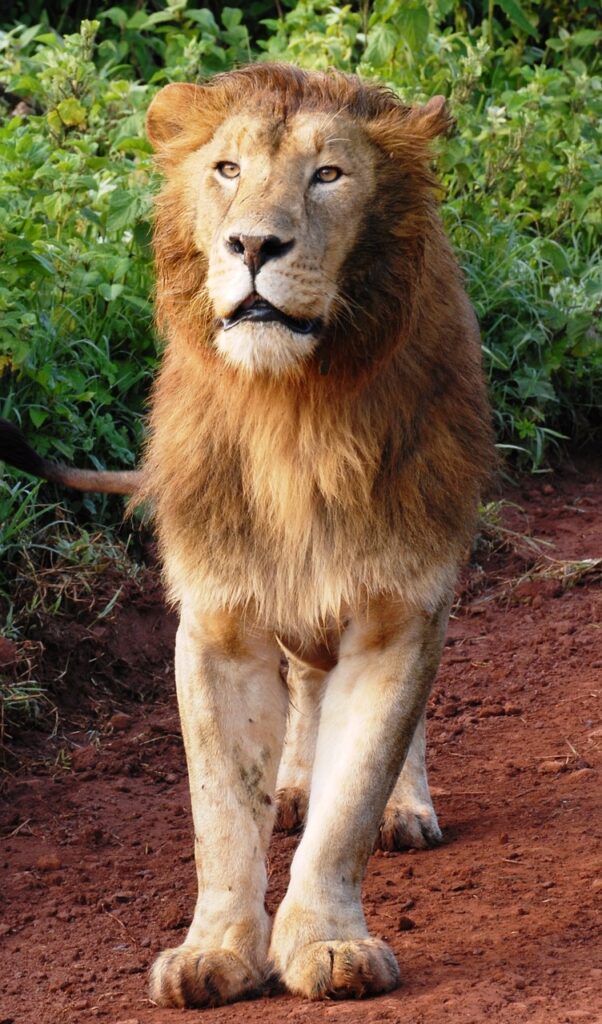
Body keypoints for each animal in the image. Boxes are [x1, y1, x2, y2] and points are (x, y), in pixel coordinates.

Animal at [0, 64, 491, 1007]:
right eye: (226, 169)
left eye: (329, 175)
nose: (253, 246)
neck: (292, 413)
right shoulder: (219, 619)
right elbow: (220, 812)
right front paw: (216, 952)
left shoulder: (400, 601)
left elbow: (353, 796)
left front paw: (328, 943)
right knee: (305, 684)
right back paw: (294, 781)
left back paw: (405, 810)